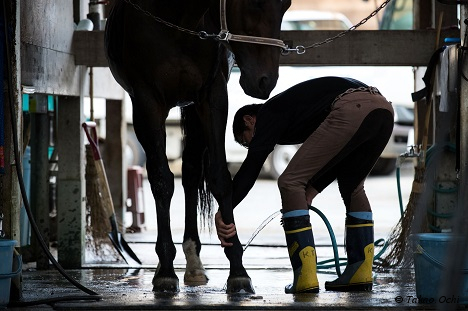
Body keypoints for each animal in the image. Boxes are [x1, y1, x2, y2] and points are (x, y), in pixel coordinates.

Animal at [104, 0, 290, 294]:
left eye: (287, 5)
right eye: (255, 4)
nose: (266, 81)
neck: (178, 20)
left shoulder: (211, 96)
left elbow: (220, 179)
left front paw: (238, 270)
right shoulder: (146, 103)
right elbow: (160, 180)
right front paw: (165, 271)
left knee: (191, 171)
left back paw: (194, 262)